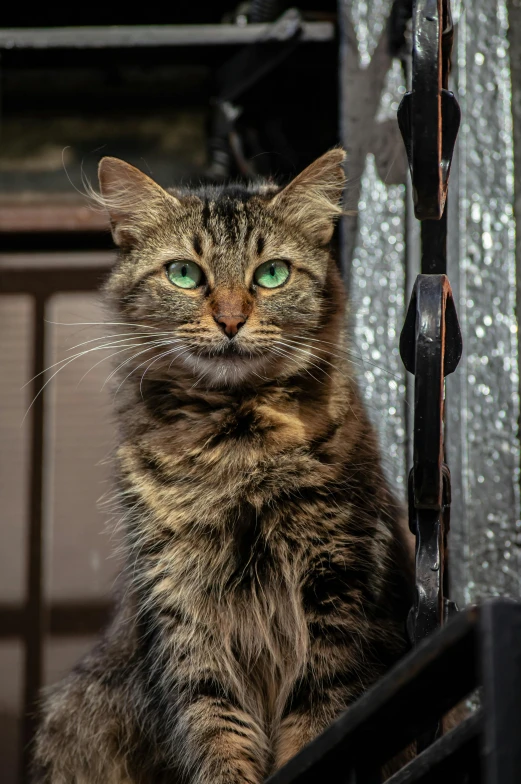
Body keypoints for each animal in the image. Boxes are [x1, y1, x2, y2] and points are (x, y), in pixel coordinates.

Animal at [33, 150, 414, 780]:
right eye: (185, 274)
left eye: (272, 273)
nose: (231, 321)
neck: (236, 451)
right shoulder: (181, 602)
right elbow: (214, 727)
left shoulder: (338, 583)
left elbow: (317, 717)